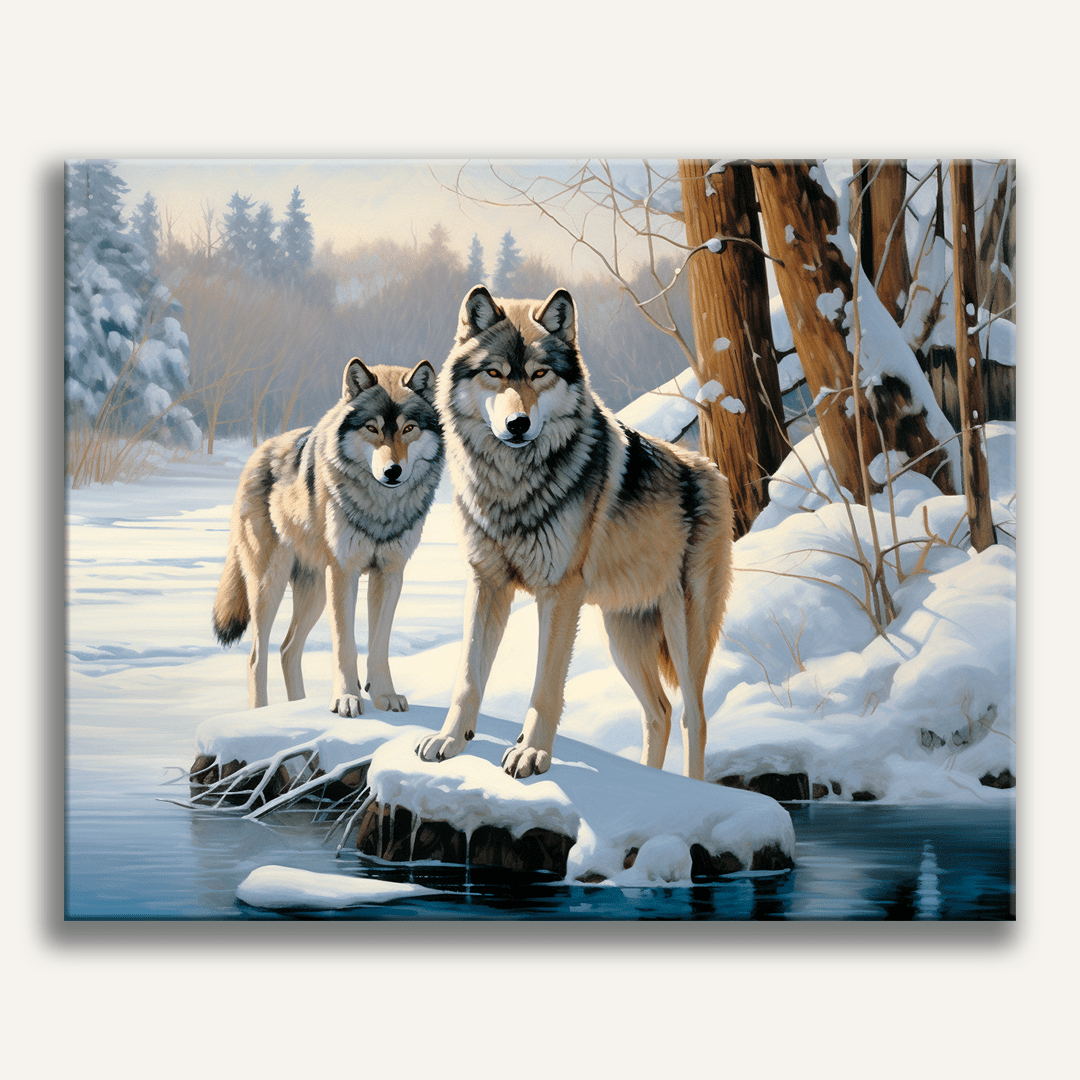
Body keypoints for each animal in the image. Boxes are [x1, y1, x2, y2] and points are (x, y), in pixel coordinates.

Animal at [212, 356, 444, 717]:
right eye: (372, 428)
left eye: (409, 429)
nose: (393, 472)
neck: (380, 509)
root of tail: (257, 453)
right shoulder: (343, 572)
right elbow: (345, 646)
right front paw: (346, 699)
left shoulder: (390, 573)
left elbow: (379, 646)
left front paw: (385, 696)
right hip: (270, 586)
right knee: (256, 657)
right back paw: (261, 714)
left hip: (315, 592)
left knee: (287, 649)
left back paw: (298, 706)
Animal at [416, 285, 733, 780]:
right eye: (494, 373)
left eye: (539, 373)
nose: (518, 425)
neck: (512, 486)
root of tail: (711, 469)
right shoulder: (485, 582)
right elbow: (467, 676)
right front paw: (450, 741)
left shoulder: (559, 593)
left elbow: (546, 688)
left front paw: (531, 754)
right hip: (620, 634)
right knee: (659, 712)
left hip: (684, 629)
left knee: (693, 716)